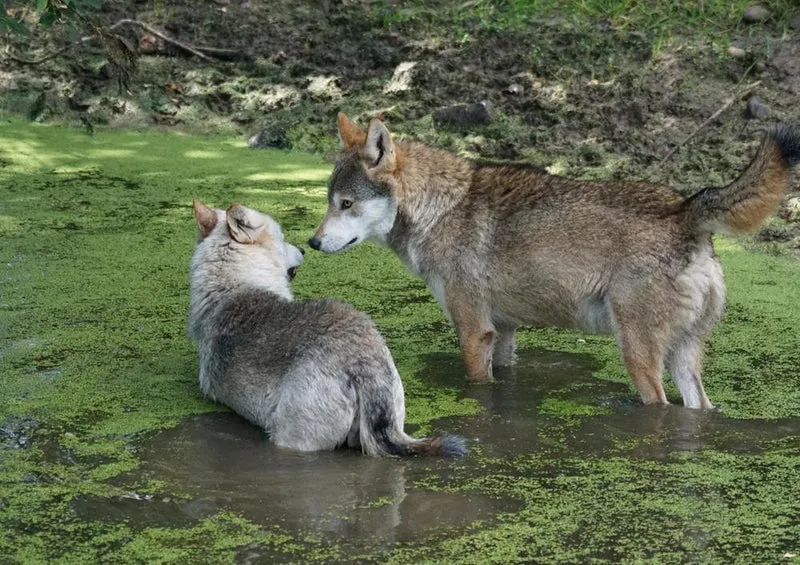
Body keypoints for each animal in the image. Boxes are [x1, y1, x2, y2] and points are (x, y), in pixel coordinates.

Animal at [309, 113, 800, 409]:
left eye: (347, 204)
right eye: (330, 201)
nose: (312, 243)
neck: (442, 207)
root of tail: (685, 209)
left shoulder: (473, 331)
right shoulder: (503, 333)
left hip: (638, 356)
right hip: (683, 360)